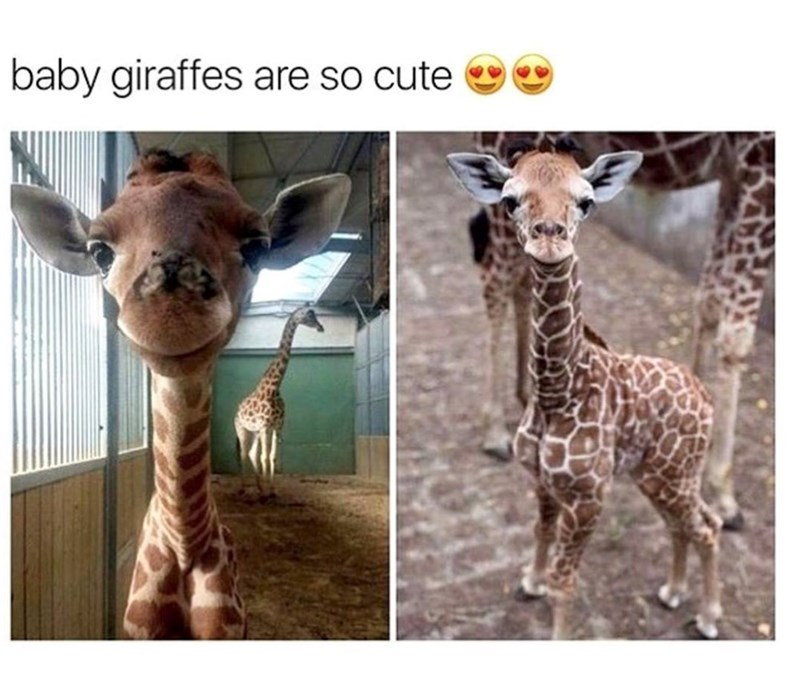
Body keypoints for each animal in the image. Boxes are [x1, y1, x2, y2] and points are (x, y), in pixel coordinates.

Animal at [234, 305, 324, 501]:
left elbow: (272, 457)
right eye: (309, 315)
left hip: (254, 432)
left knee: (252, 453)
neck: (274, 388)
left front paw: (272, 491)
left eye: (314, 314)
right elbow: (265, 457)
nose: (321, 327)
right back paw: (243, 489)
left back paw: (259, 487)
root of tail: (237, 410)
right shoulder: (264, 426)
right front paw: (266, 493)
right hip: (242, 429)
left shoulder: (277, 426)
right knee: (244, 453)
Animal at [447, 142, 722, 640]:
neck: (557, 391)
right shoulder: (542, 480)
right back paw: (673, 592)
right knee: (687, 525)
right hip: (659, 475)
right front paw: (530, 582)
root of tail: (705, 395)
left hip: (675, 475)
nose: (549, 239)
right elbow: (540, 533)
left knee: (706, 527)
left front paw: (551, 612)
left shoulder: (590, 495)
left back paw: (709, 617)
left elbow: (565, 582)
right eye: (510, 200)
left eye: (586, 201)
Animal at [470, 131, 774, 530]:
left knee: (519, 276)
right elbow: (735, 336)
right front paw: (724, 493)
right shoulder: (761, 160)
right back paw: (494, 432)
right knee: (496, 276)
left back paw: (523, 393)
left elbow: (708, 298)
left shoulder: (733, 170)